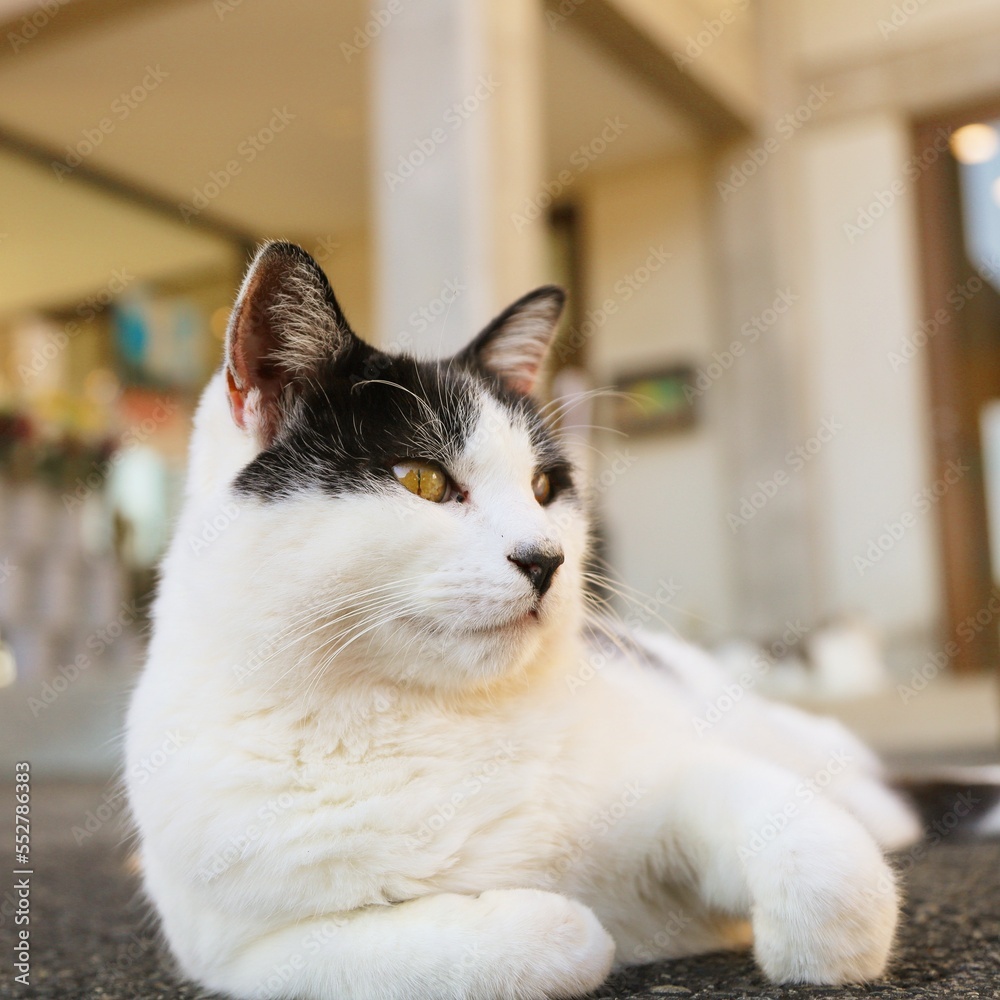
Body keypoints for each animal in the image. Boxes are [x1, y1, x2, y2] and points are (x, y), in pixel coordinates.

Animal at [127, 242, 1000, 1000]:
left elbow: (819, 859)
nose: (545, 558)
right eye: (422, 480)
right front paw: (580, 924)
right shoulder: (252, 956)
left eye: (546, 488)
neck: (427, 719)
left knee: (868, 796)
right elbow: (541, 938)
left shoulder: (682, 771)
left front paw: (802, 947)